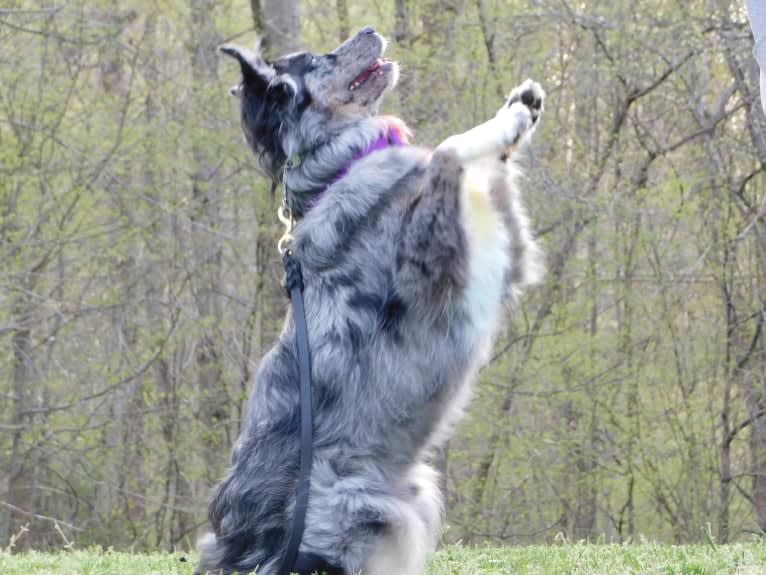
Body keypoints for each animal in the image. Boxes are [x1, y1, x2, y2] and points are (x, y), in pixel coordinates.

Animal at [200, 24, 544, 572]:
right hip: (358, 508)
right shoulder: (440, 258)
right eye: (318, 58)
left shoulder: (503, 255)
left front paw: (519, 109)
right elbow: (448, 150)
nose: (368, 30)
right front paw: (507, 120)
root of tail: (249, 551)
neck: (338, 167)